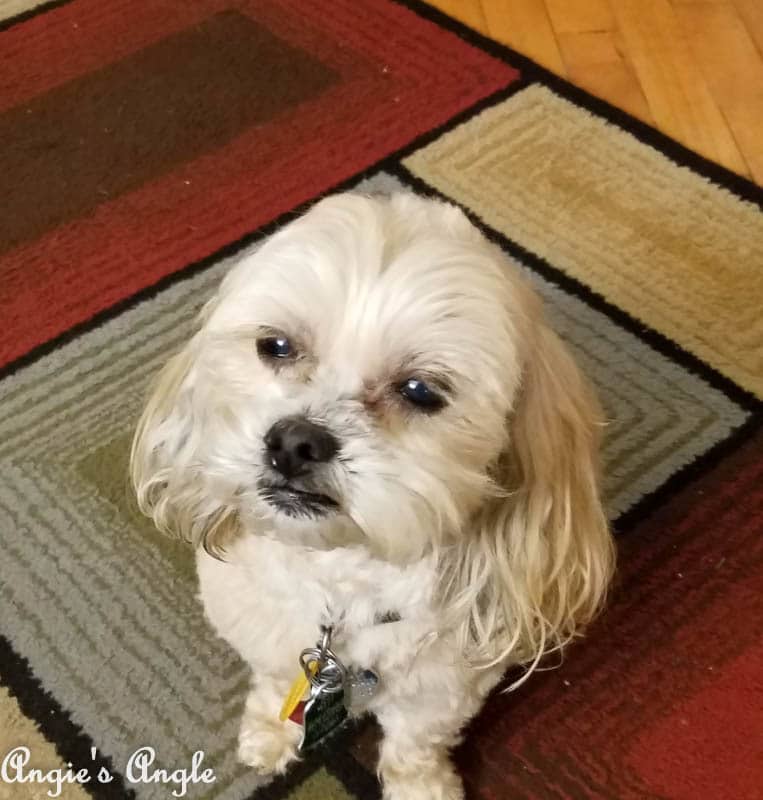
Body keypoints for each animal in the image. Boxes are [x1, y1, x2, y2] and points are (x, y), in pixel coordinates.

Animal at [130, 192, 616, 800]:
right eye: (276, 346)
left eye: (420, 391)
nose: (295, 442)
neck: (342, 589)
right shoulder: (266, 631)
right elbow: (276, 682)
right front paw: (269, 734)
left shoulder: (443, 687)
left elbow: (416, 742)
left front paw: (421, 787)